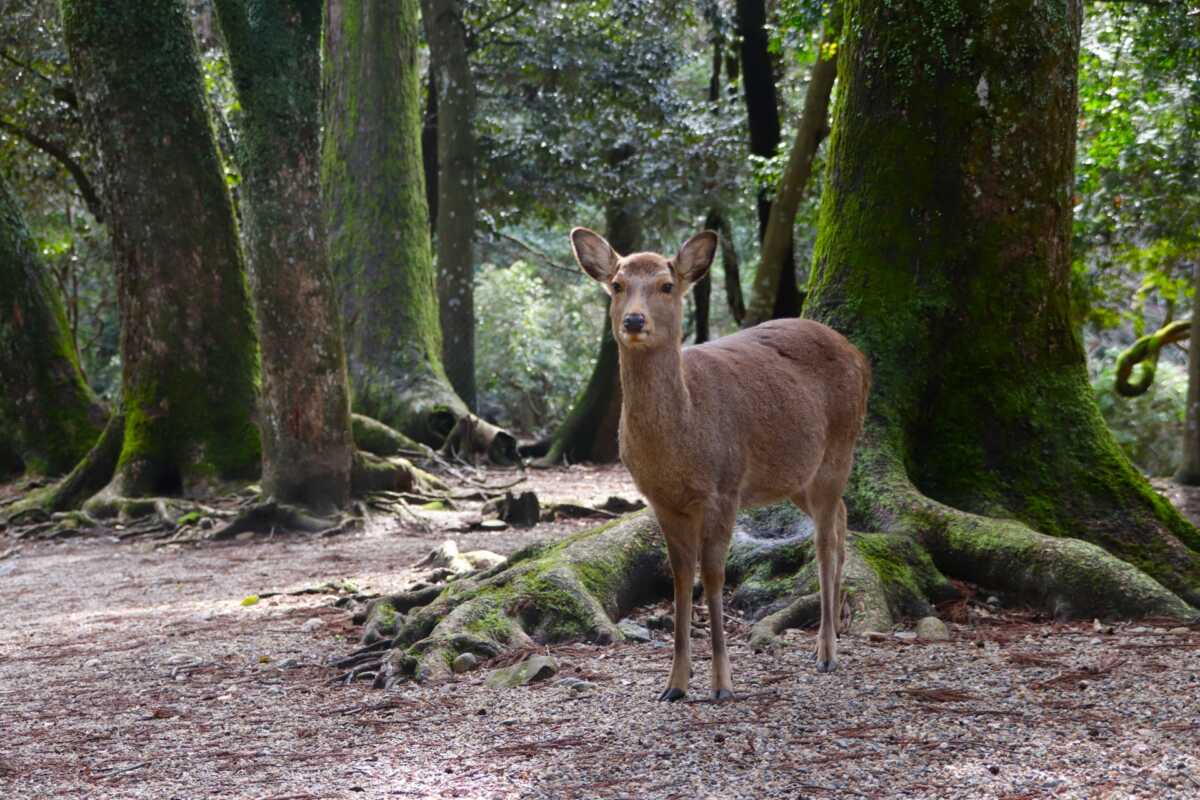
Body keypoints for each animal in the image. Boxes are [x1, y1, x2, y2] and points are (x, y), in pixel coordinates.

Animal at [570, 227, 870, 702]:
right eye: (617, 285)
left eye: (666, 285)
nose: (633, 321)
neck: (682, 443)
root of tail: (861, 357)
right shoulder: (661, 500)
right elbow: (679, 578)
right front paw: (674, 684)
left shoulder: (724, 488)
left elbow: (712, 577)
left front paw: (723, 684)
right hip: (796, 476)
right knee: (841, 520)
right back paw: (832, 636)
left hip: (840, 448)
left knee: (826, 540)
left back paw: (827, 652)